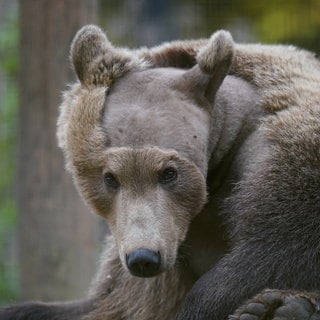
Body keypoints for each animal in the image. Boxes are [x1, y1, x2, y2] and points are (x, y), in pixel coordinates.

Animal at [1, 25, 320, 320]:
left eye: (169, 173)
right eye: (109, 178)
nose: (144, 257)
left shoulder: (285, 167)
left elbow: (268, 254)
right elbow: (103, 302)